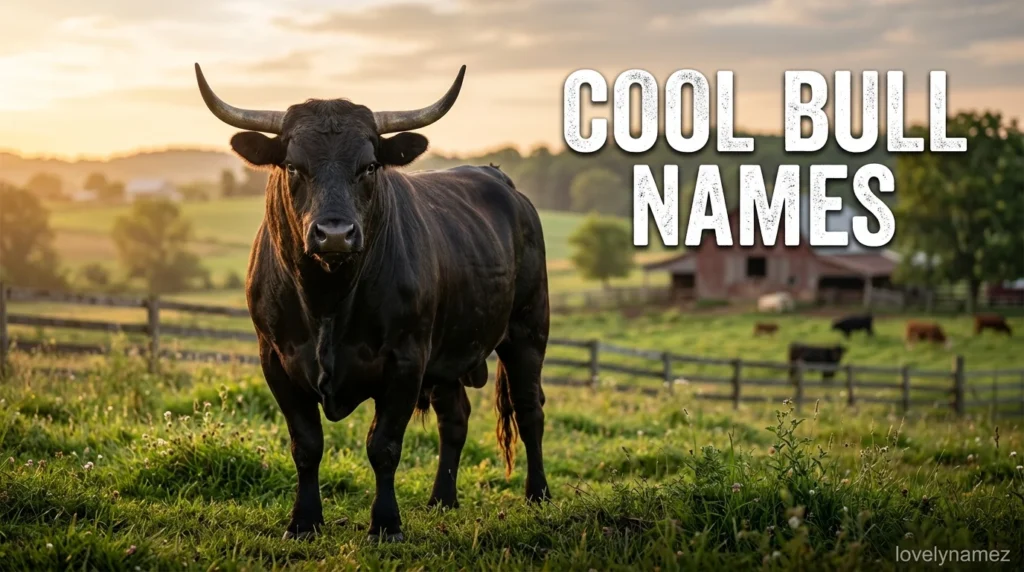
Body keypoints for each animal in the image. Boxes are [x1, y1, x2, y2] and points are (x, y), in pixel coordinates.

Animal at [194, 64, 550, 542]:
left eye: (368, 166)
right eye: (293, 166)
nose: (335, 234)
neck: (327, 298)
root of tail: (500, 181)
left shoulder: (405, 360)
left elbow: (384, 446)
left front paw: (386, 524)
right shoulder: (276, 361)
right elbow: (306, 445)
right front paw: (303, 521)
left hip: (528, 330)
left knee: (530, 411)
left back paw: (538, 494)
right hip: (448, 354)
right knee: (454, 418)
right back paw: (442, 499)